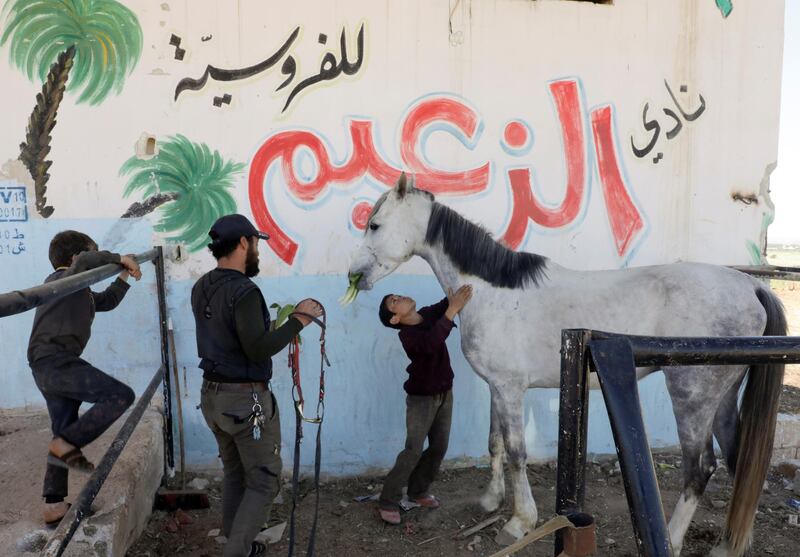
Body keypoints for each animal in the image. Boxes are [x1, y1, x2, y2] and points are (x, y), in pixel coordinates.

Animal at [350, 172, 788, 552]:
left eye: (375, 224)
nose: (356, 275)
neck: (494, 291)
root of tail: (750, 285)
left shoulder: (510, 388)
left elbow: (516, 451)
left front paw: (519, 522)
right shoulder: (499, 387)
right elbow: (494, 443)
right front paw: (491, 501)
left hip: (691, 398)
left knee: (699, 469)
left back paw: (675, 540)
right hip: (723, 398)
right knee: (738, 460)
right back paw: (728, 545)